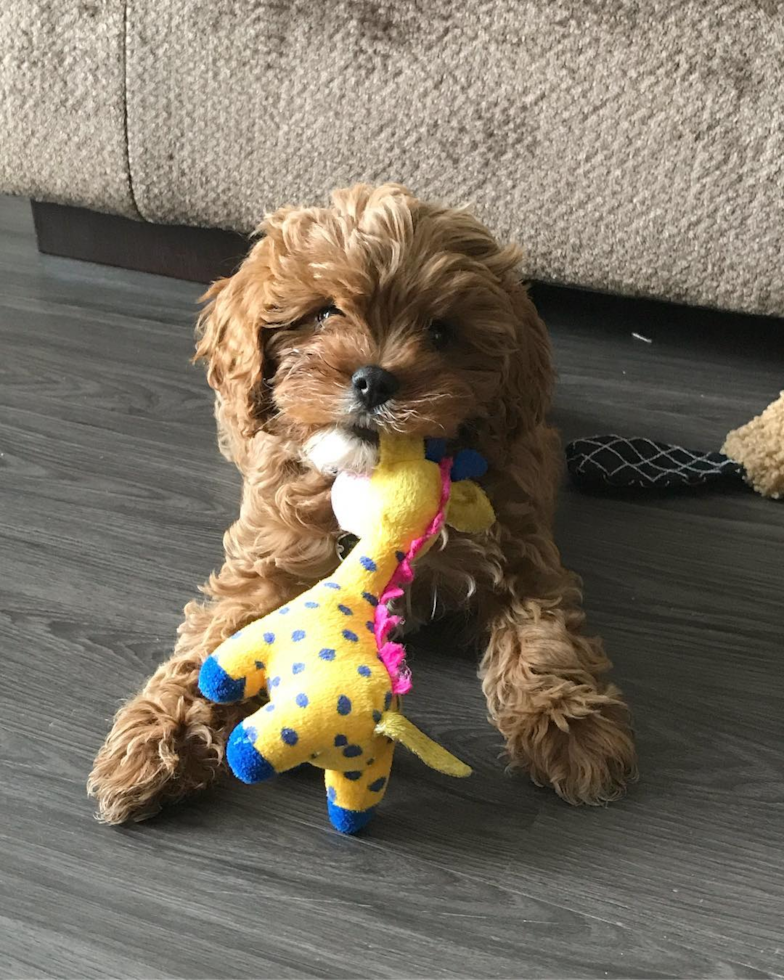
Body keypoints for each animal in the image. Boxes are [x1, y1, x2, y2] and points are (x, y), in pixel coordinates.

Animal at [87, 182, 636, 820]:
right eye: (325, 313)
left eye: (441, 332)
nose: (374, 380)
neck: (373, 475)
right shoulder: (269, 562)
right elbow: (209, 651)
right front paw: (158, 740)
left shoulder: (524, 552)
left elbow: (546, 638)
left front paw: (573, 730)